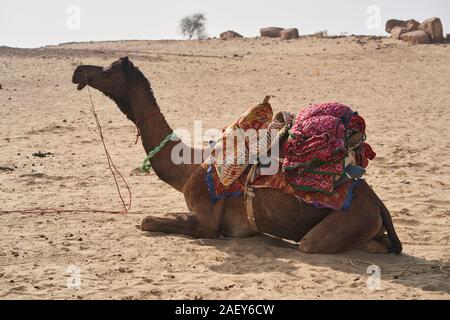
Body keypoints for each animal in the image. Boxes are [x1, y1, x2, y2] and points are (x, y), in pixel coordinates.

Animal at [72, 56, 402, 254]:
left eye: (108, 69)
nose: (78, 71)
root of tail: (378, 203)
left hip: (342, 224)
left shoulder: (205, 220)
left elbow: (148, 221)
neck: (188, 165)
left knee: (319, 244)